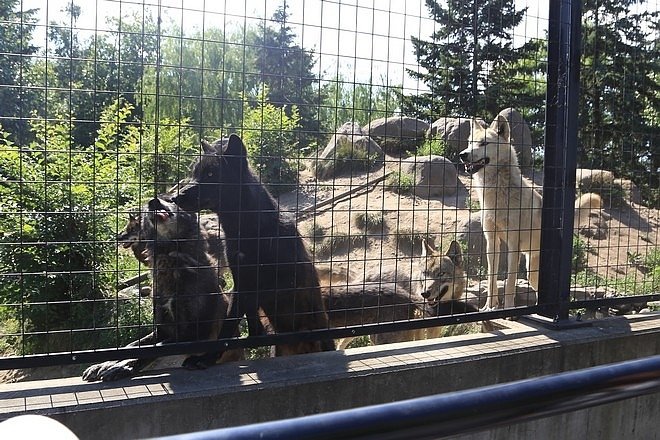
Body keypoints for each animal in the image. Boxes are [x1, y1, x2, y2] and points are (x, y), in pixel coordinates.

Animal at [171, 135, 332, 368]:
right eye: (194, 172)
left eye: (211, 174)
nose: (174, 198)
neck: (247, 228)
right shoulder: (239, 279)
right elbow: (241, 321)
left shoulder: (273, 282)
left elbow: (233, 320)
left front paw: (208, 358)